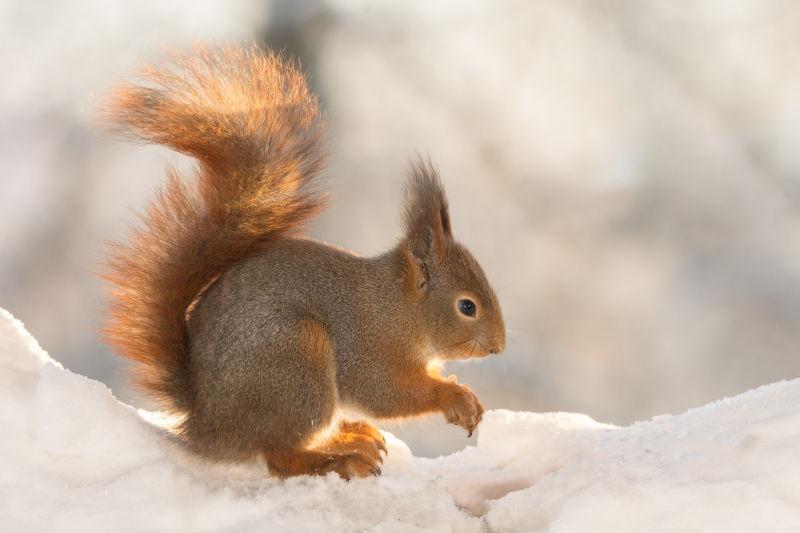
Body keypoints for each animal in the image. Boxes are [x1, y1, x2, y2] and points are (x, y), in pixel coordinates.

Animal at [103, 44, 506, 478]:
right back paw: (342, 458)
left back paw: (350, 434)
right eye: (467, 307)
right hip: (296, 364)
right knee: (281, 456)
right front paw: (456, 397)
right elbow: (387, 393)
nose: (498, 346)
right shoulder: (368, 349)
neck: (399, 309)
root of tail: (207, 422)